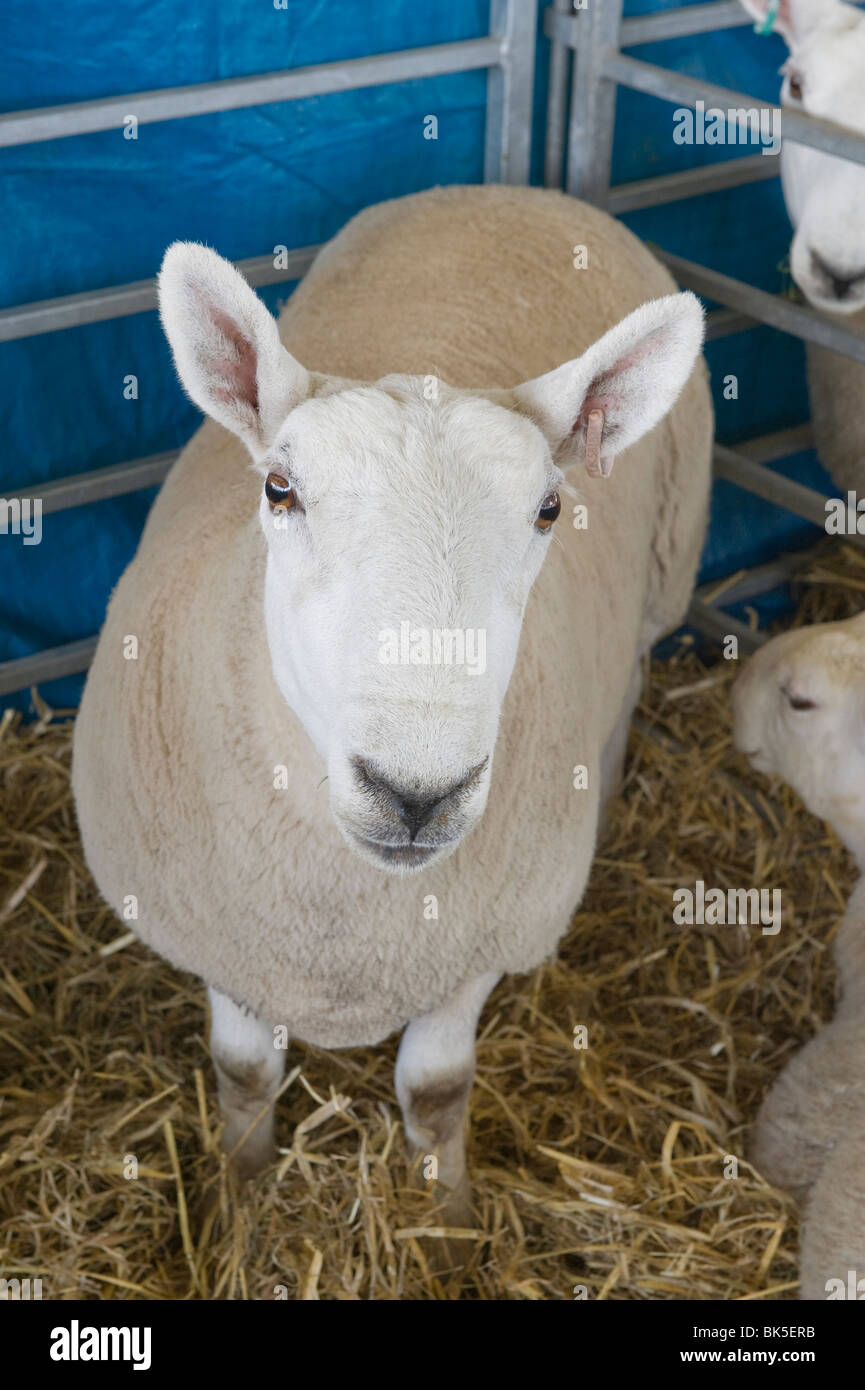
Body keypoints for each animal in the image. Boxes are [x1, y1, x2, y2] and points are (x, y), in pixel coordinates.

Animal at [73, 182, 712, 1217]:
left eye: (548, 509)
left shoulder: (473, 946)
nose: (417, 795)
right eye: (278, 489)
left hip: (663, 584)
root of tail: (516, 192)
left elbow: (436, 1090)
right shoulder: (227, 940)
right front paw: (244, 1205)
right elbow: (244, 1076)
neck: (353, 918)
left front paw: (445, 1219)